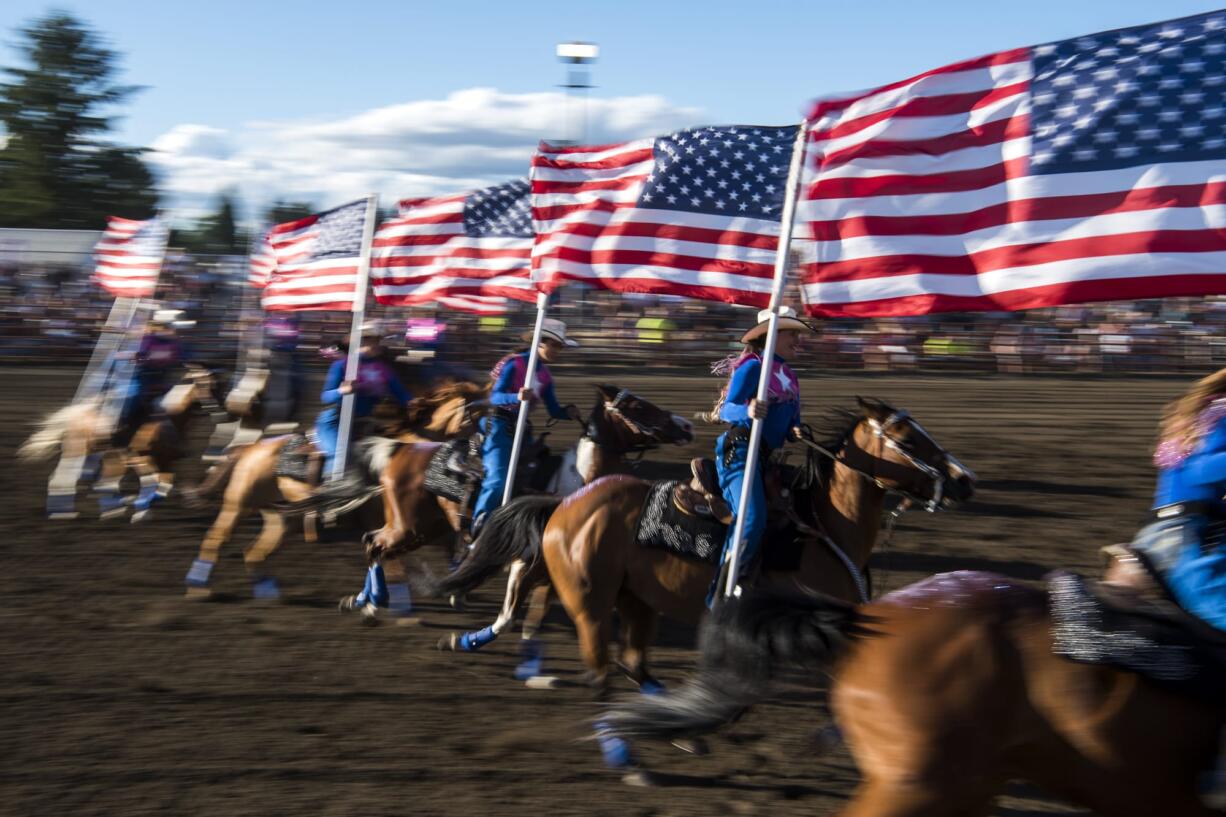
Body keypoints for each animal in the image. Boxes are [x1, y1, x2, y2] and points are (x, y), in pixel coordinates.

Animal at [18, 368, 225, 517]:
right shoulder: (145, 457)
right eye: (202, 385)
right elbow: (160, 483)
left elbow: (167, 484)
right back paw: (65, 510)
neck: (170, 419)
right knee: (61, 476)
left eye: (219, 386)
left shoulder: (165, 460)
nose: (217, 409)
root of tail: (79, 412)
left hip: (97, 450)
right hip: (77, 449)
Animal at [541, 395, 970, 691]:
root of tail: (566, 506)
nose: (964, 479)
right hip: (591, 606)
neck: (821, 524)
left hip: (637, 600)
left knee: (635, 661)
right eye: (907, 439)